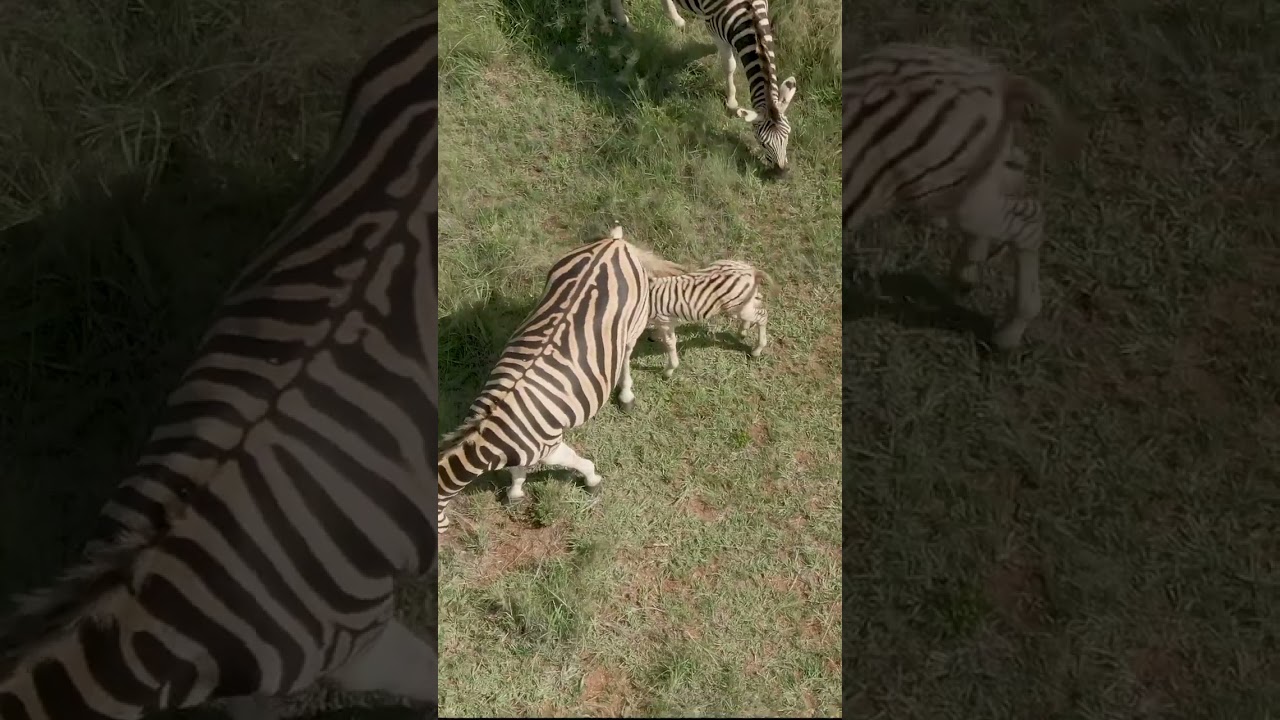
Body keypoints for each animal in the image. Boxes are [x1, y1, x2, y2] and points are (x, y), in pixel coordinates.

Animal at [437, 226, 685, 530]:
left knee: (625, 356)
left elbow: (577, 462)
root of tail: (613, 243)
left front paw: (593, 480)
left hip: (634, 322)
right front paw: (515, 493)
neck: (493, 438)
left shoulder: (551, 447)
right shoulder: (527, 450)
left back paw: (626, 395)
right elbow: (518, 471)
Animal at [608, 0, 799, 173]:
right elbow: (729, 65)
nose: (782, 172)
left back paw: (676, 19)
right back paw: (624, 22)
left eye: (788, 134)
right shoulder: (714, 30)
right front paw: (731, 101)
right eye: (762, 142)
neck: (750, 15)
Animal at [843, 43, 1079, 350]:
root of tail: (997, 79)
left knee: (1029, 220)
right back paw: (967, 273)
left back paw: (1009, 333)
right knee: (1015, 181)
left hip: (941, 195)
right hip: (964, 184)